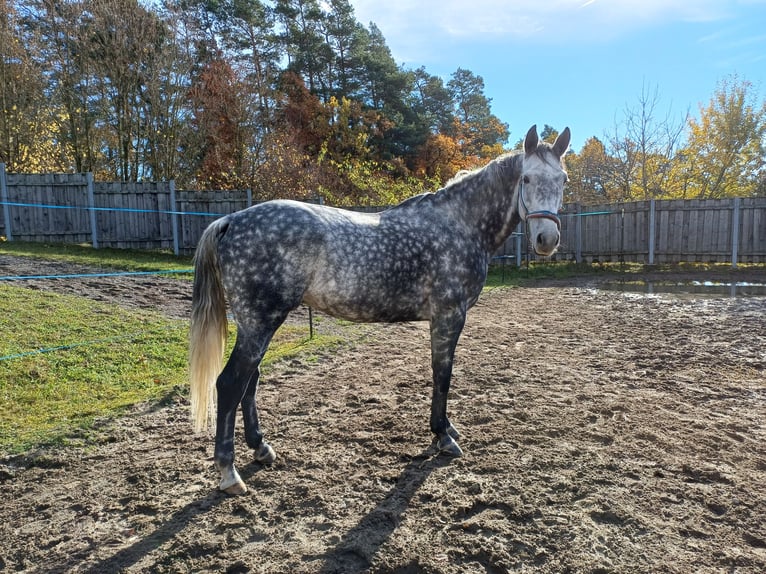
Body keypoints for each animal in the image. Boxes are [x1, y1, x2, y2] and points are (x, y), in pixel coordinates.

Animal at [189, 124, 571, 494]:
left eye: (563, 179)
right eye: (526, 179)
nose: (547, 240)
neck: (460, 225)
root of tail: (231, 220)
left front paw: (446, 429)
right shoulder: (449, 315)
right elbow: (442, 375)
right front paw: (442, 435)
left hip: (259, 324)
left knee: (250, 382)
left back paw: (261, 447)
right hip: (260, 322)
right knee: (230, 384)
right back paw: (229, 472)